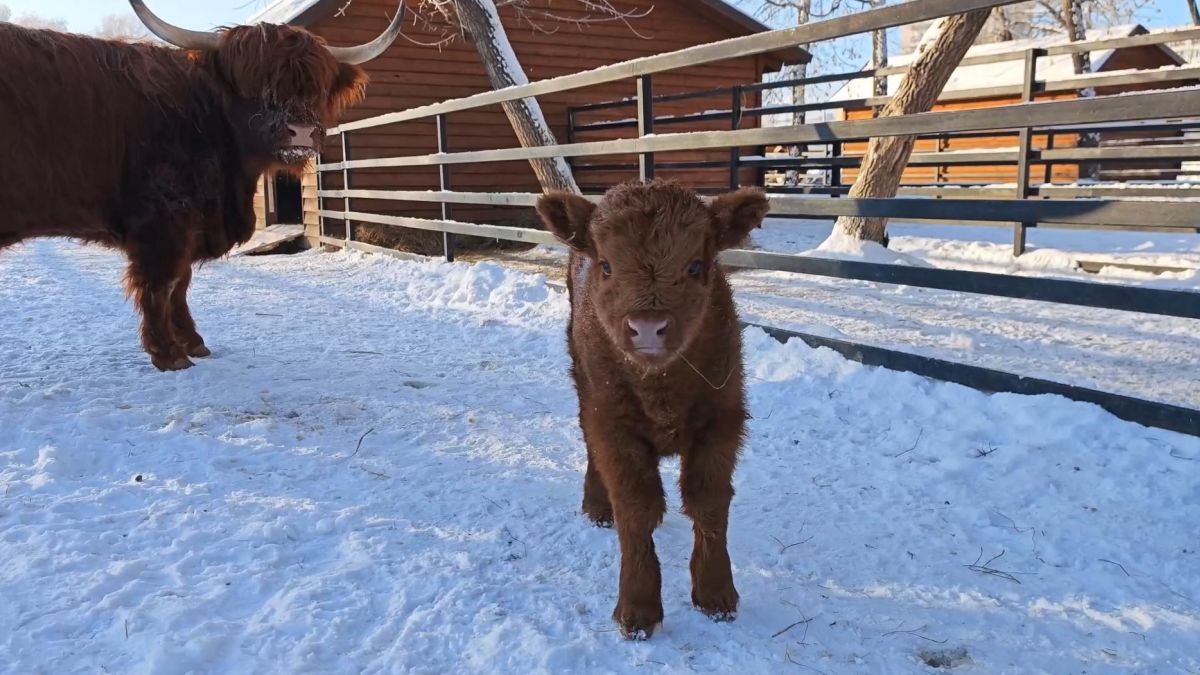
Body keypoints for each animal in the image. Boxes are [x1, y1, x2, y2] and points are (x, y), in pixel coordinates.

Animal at [0, 1, 403, 367]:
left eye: (316, 87)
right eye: (254, 83)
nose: (301, 131)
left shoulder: (188, 224)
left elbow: (182, 282)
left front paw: (193, 342)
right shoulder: (162, 221)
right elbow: (161, 284)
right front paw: (169, 354)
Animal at [537, 177, 768, 634]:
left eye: (694, 265)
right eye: (607, 265)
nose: (648, 328)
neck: (662, 393)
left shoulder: (723, 420)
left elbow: (709, 502)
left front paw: (716, 594)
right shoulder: (613, 425)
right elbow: (636, 508)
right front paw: (638, 608)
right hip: (584, 387)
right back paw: (596, 506)